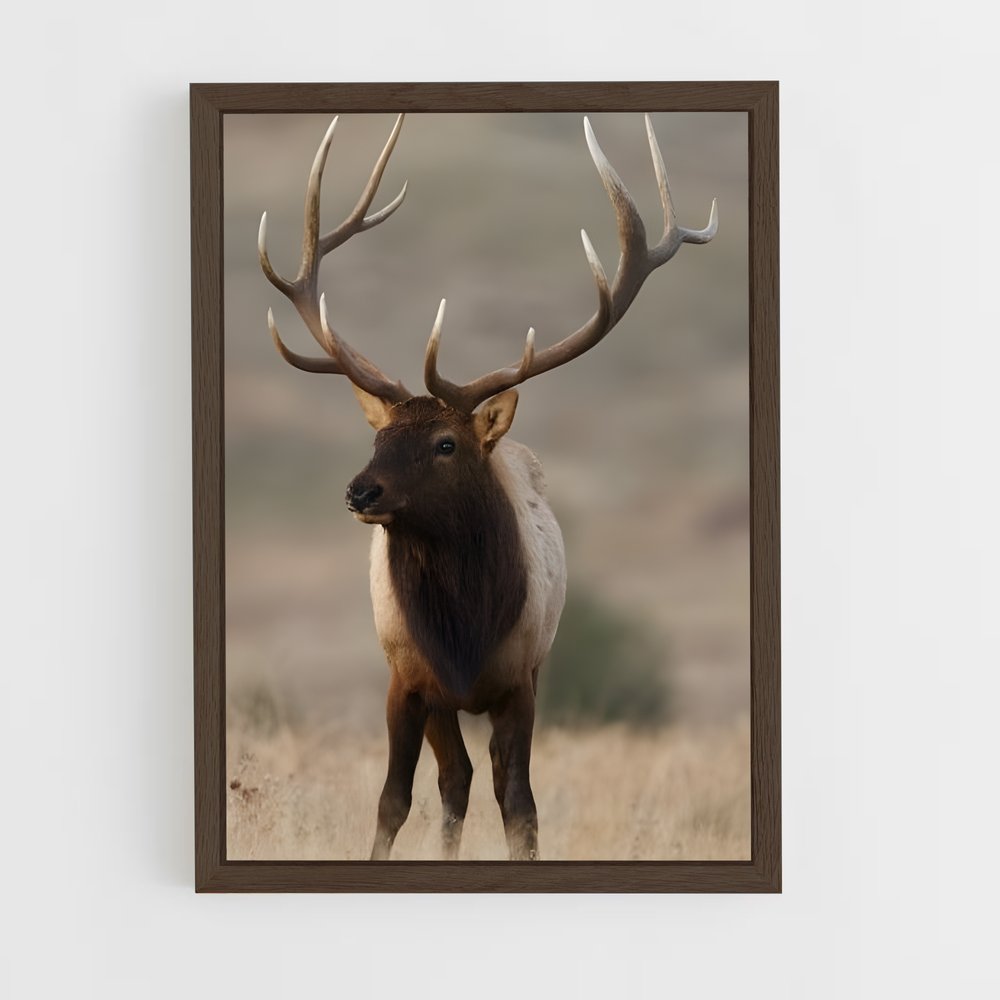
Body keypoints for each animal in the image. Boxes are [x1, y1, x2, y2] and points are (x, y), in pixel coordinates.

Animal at [257, 113, 717, 861]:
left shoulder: (522, 679)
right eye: (378, 439)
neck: (466, 632)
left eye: (446, 444)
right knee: (454, 783)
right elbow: (394, 800)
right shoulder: (407, 678)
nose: (360, 492)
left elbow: (520, 804)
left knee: (479, 781)